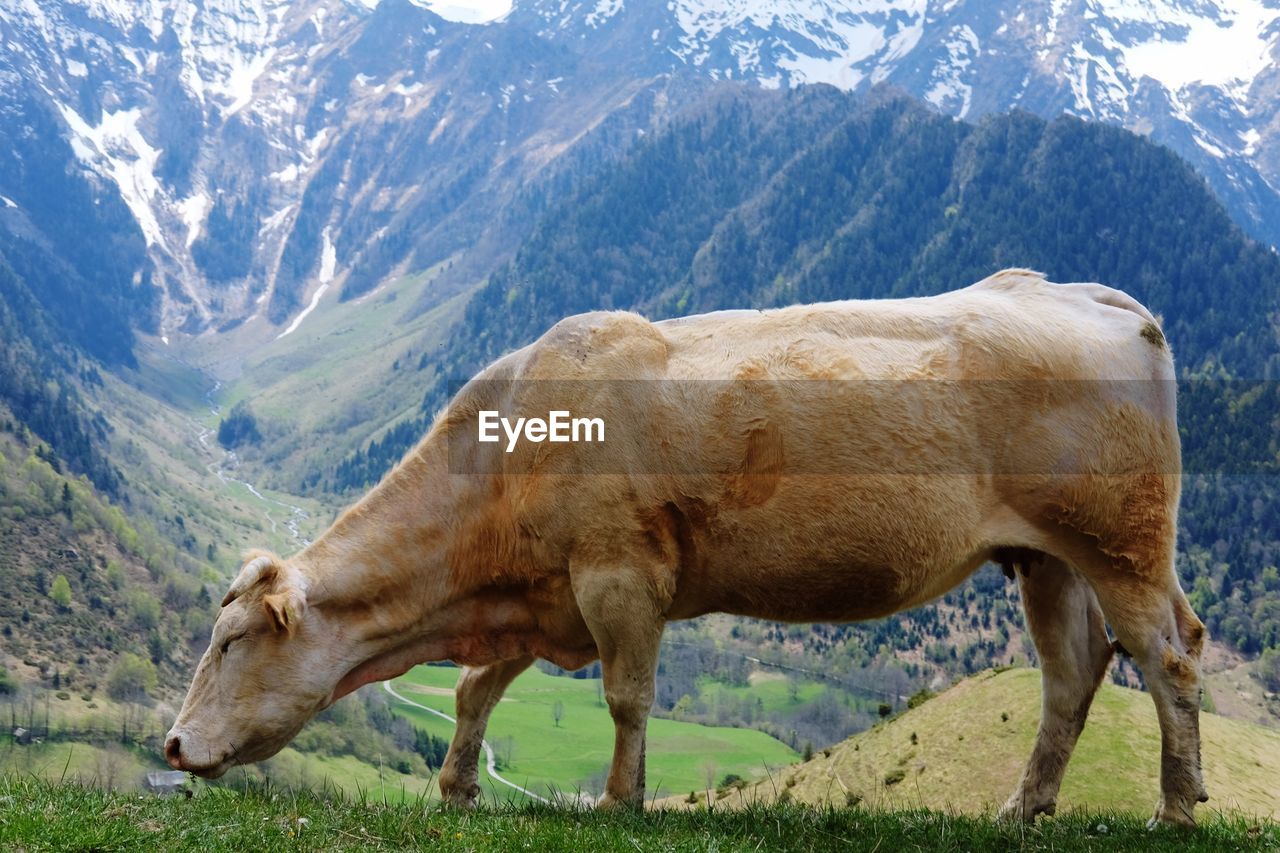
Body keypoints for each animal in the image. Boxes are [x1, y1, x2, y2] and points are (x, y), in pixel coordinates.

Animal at [165, 267, 1203, 824]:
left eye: (230, 642)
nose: (171, 743)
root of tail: (1087, 294)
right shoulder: (540, 593)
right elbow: (473, 689)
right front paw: (455, 789)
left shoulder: (618, 574)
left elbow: (626, 696)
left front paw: (618, 802)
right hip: (1049, 556)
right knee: (1073, 671)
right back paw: (1024, 808)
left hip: (1122, 538)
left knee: (1170, 654)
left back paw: (1175, 805)